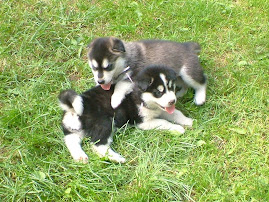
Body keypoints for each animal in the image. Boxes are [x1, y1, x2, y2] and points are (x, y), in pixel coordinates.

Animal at [58, 65, 193, 163]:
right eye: (158, 92)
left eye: (171, 88)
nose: (173, 101)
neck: (140, 96)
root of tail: (73, 109)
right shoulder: (143, 122)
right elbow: (163, 122)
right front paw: (177, 128)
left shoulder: (160, 110)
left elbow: (175, 113)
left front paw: (188, 121)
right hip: (105, 123)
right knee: (98, 145)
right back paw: (117, 158)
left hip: (74, 130)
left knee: (71, 141)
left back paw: (80, 157)